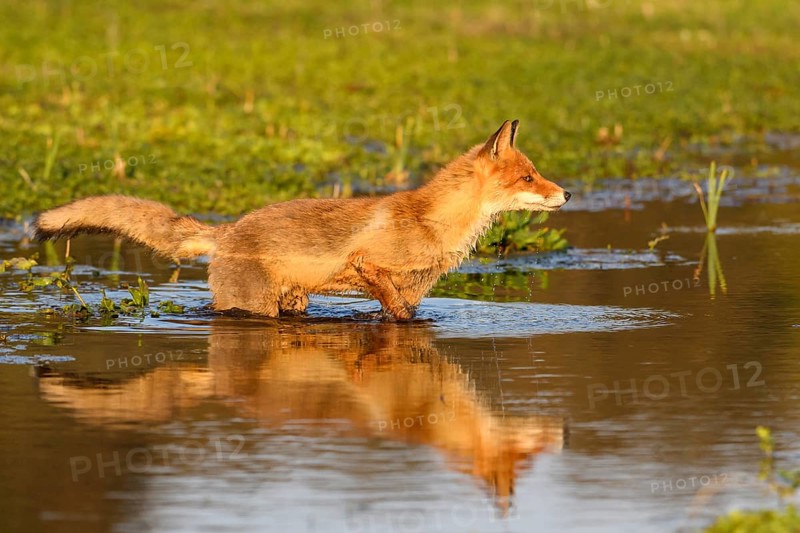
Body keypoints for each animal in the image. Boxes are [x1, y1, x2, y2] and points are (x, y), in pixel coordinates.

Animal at [34, 119, 571, 319]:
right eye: (528, 177)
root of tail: (228, 229)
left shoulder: (415, 291)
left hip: (293, 303)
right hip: (253, 308)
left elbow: (403, 314)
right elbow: (392, 308)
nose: (566, 193)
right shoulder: (367, 264)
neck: (434, 223)